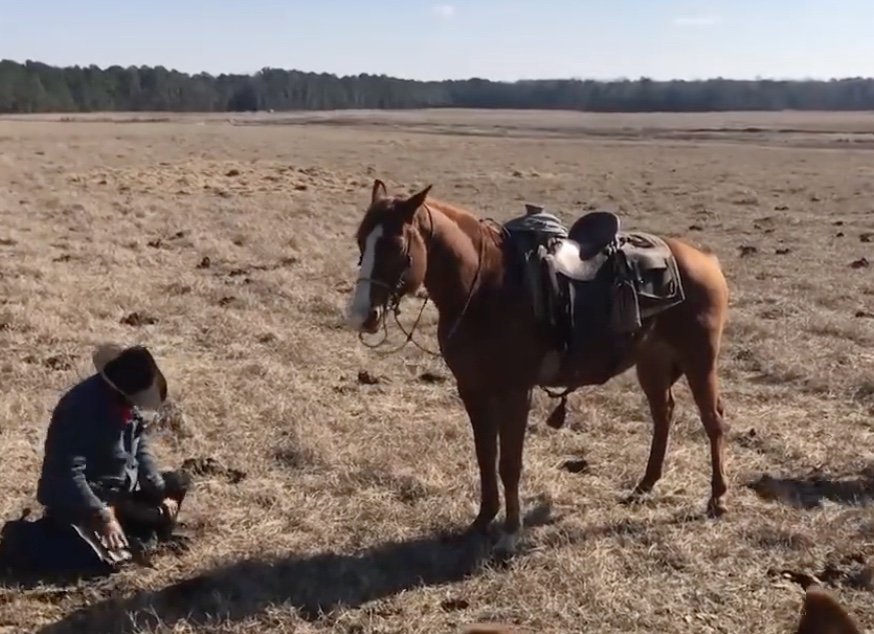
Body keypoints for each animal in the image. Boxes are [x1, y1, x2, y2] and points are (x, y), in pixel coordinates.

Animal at [344, 177, 724, 548]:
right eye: (361, 239)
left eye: (396, 246)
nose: (361, 315)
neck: (486, 287)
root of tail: (704, 258)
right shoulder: (472, 389)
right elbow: (486, 455)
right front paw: (483, 520)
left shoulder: (515, 391)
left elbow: (510, 463)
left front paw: (511, 532)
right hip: (653, 362)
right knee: (663, 415)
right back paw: (645, 486)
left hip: (699, 359)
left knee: (712, 420)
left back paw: (716, 499)